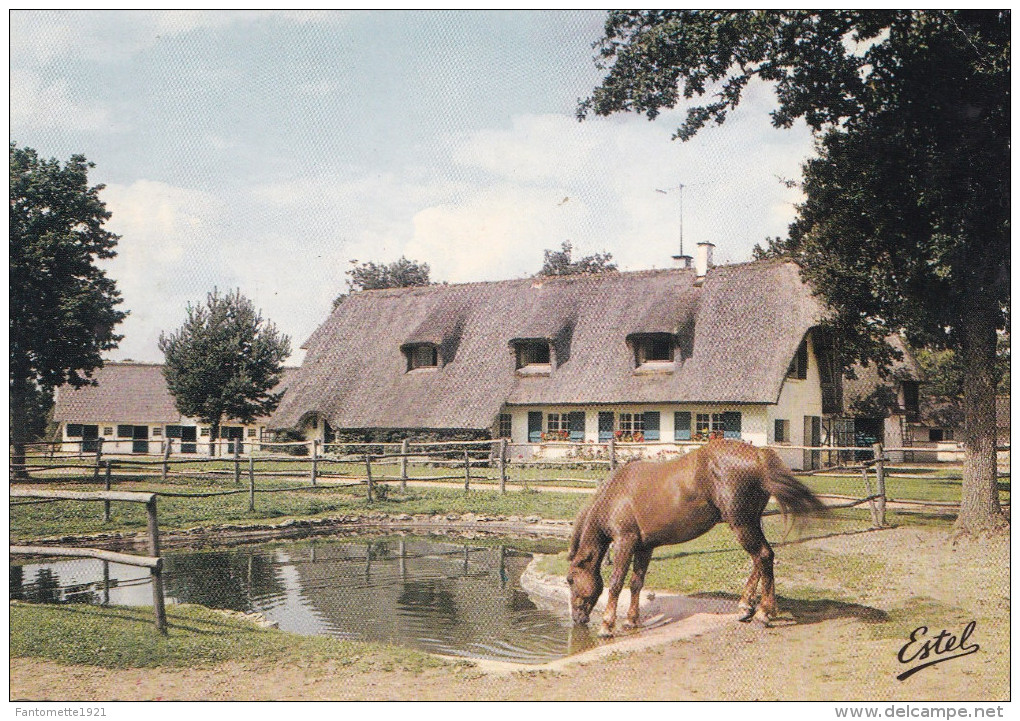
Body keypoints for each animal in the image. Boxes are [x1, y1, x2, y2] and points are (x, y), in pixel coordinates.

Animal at [571, 440, 824, 636]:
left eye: (570, 580)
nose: (577, 618)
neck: (617, 494)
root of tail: (757, 454)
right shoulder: (644, 547)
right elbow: (636, 583)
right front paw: (631, 620)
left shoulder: (625, 542)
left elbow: (616, 583)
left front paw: (607, 625)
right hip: (749, 523)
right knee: (761, 559)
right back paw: (745, 607)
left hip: (741, 524)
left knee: (763, 556)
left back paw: (763, 613)